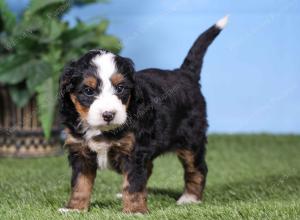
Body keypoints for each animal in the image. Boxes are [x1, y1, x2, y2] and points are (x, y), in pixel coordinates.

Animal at [58, 15, 227, 213]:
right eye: (88, 91)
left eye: (120, 88)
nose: (108, 114)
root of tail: (184, 73)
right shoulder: (80, 151)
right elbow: (80, 183)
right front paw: (74, 208)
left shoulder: (134, 150)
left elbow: (133, 183)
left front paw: (134, 211)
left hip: (191, 139)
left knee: (197, 168)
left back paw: (190, 198)